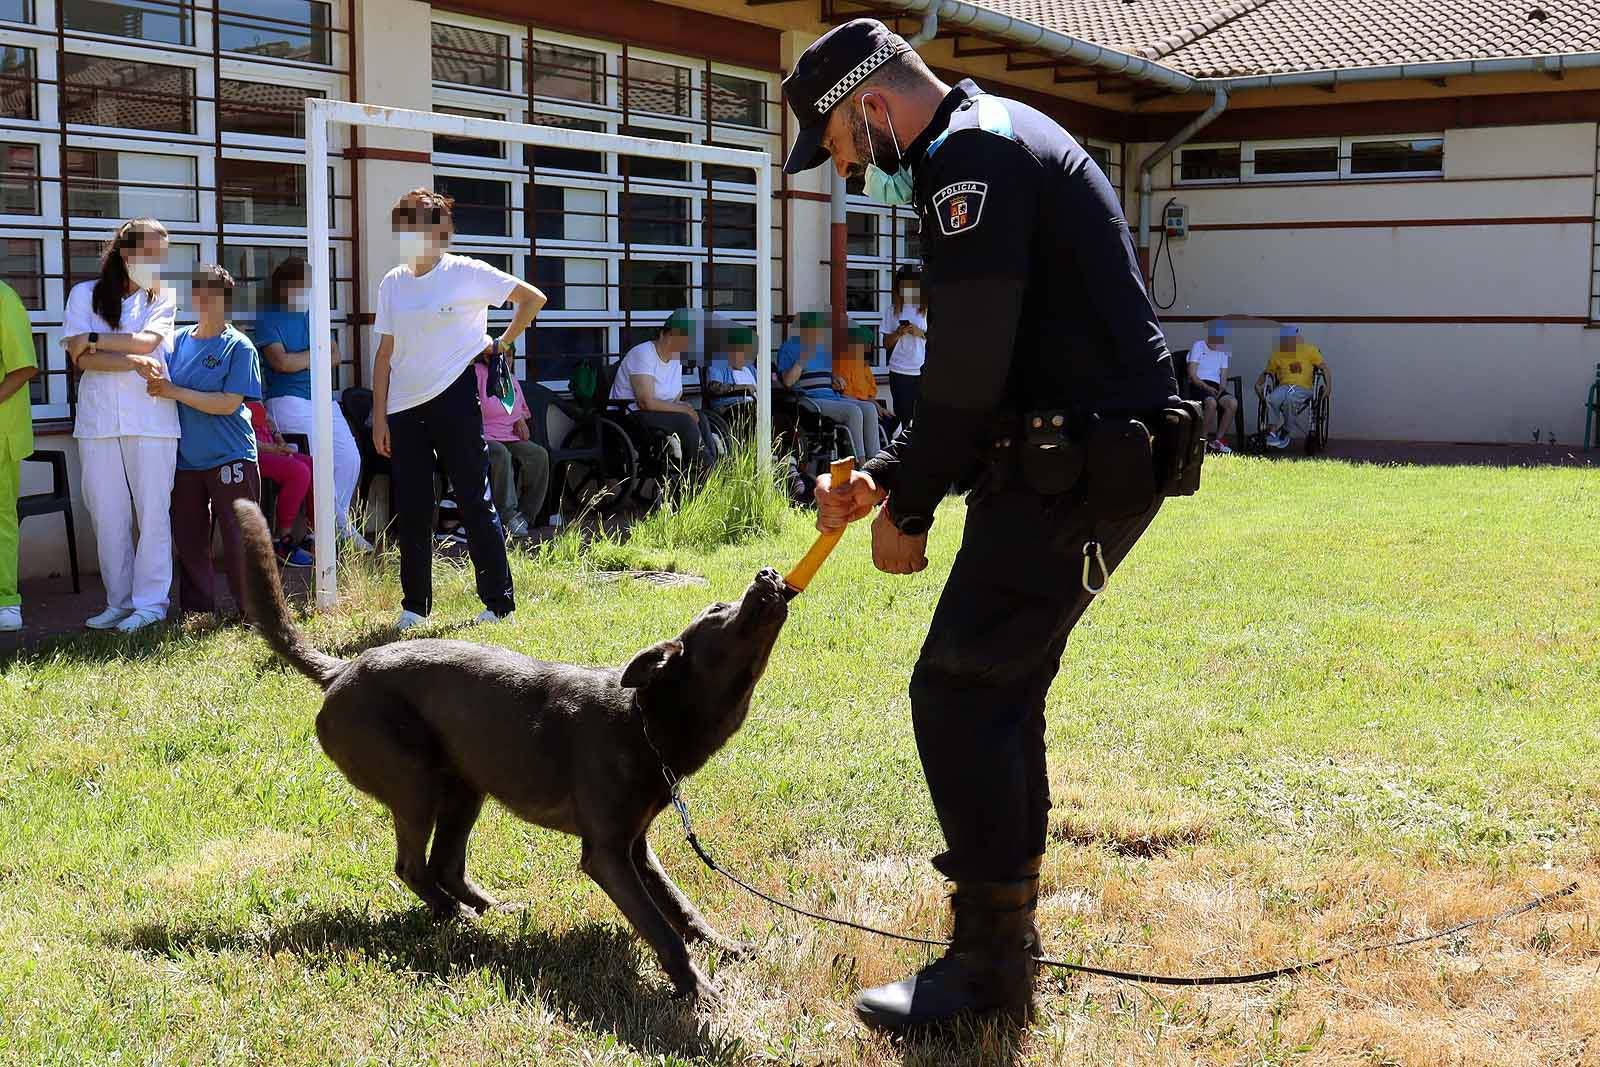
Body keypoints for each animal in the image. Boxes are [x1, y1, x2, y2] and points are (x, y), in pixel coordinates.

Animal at [233, 502, 790, 1004]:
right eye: (716, 611)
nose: (767, 573)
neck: (645, 719)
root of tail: (340, 670)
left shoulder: (637, 847)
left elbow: (680, 907)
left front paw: (727, 947)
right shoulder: (608, 854)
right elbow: (661, 927)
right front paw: (699, 990)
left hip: (466, 786)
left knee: (446, 865)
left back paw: (490, 910)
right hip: (415, 782)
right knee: (413, 866)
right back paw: (457, 917)